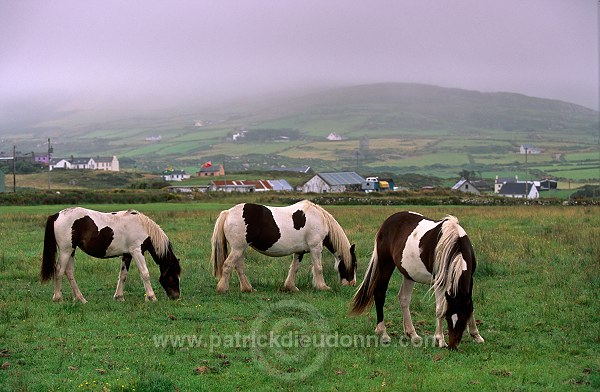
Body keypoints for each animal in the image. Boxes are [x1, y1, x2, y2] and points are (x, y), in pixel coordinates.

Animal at [41, 208, 180, 304]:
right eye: (173, 276)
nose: (176, 297)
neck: (143, 227)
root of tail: (56, 215)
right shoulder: (137, 252)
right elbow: (145, 273)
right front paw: (152, 297)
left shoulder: (127, 255)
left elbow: (123, 275)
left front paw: (119, 297)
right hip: (66, 250)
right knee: (59, 271)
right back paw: (58, 298)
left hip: (71, 250)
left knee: (69, 272)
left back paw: (81, 299)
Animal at [210, 201, 356, 292]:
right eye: (354, 263)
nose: (352, 283)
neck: (320, 219)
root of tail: (228, 213)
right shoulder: (316, 247)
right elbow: (318, 268)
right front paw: (322, 286)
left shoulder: (299, 251)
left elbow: (294, 268)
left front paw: (290, 287)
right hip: (238, 249)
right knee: (228, 265)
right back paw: (222, 289)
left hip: (240, 249)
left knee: (238, 267)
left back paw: (248, 288)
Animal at [352, 211, 482, 350]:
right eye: (448, 317)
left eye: (463, 319)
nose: (452, 346)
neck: (455, 244)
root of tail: (386, 223)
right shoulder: (439, 282)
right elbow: (440, 309)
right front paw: (440, 340)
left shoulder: (470, 280)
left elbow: (470, 306)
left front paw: (476, 335)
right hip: (385, 264)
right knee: (380, 293)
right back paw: (384, 334)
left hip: (408, 274)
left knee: (403, 298)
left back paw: (412, 335)